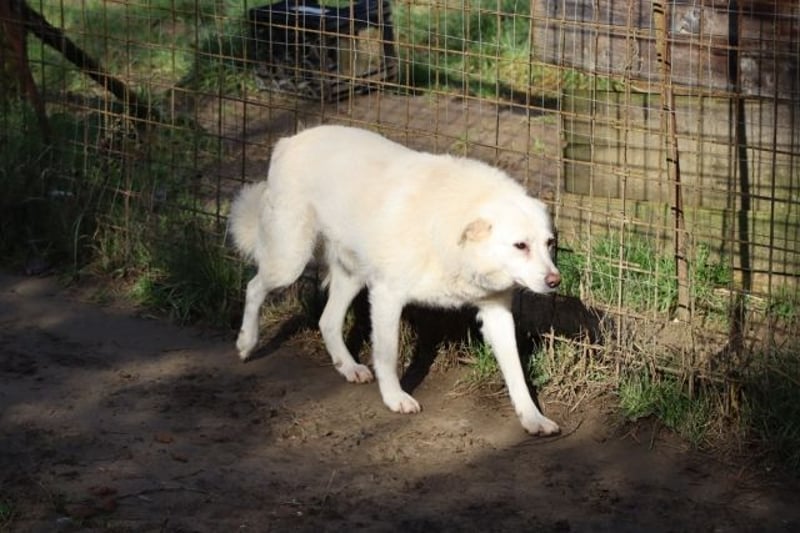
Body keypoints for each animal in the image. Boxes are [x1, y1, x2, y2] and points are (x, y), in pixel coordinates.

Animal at [229, 125, 561, 435]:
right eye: (520, 245)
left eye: (549, 243)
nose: (555, 281)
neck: (447, 234)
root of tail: (289, 141)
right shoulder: (387, 296)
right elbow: (387, 355)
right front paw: (395, 399)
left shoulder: (495, 313)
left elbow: (517, 373)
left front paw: (533, 419)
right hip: (290, 262)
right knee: (254, 287)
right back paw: (246, 343)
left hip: (352, 275)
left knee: (327, 321)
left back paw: (348, 367)